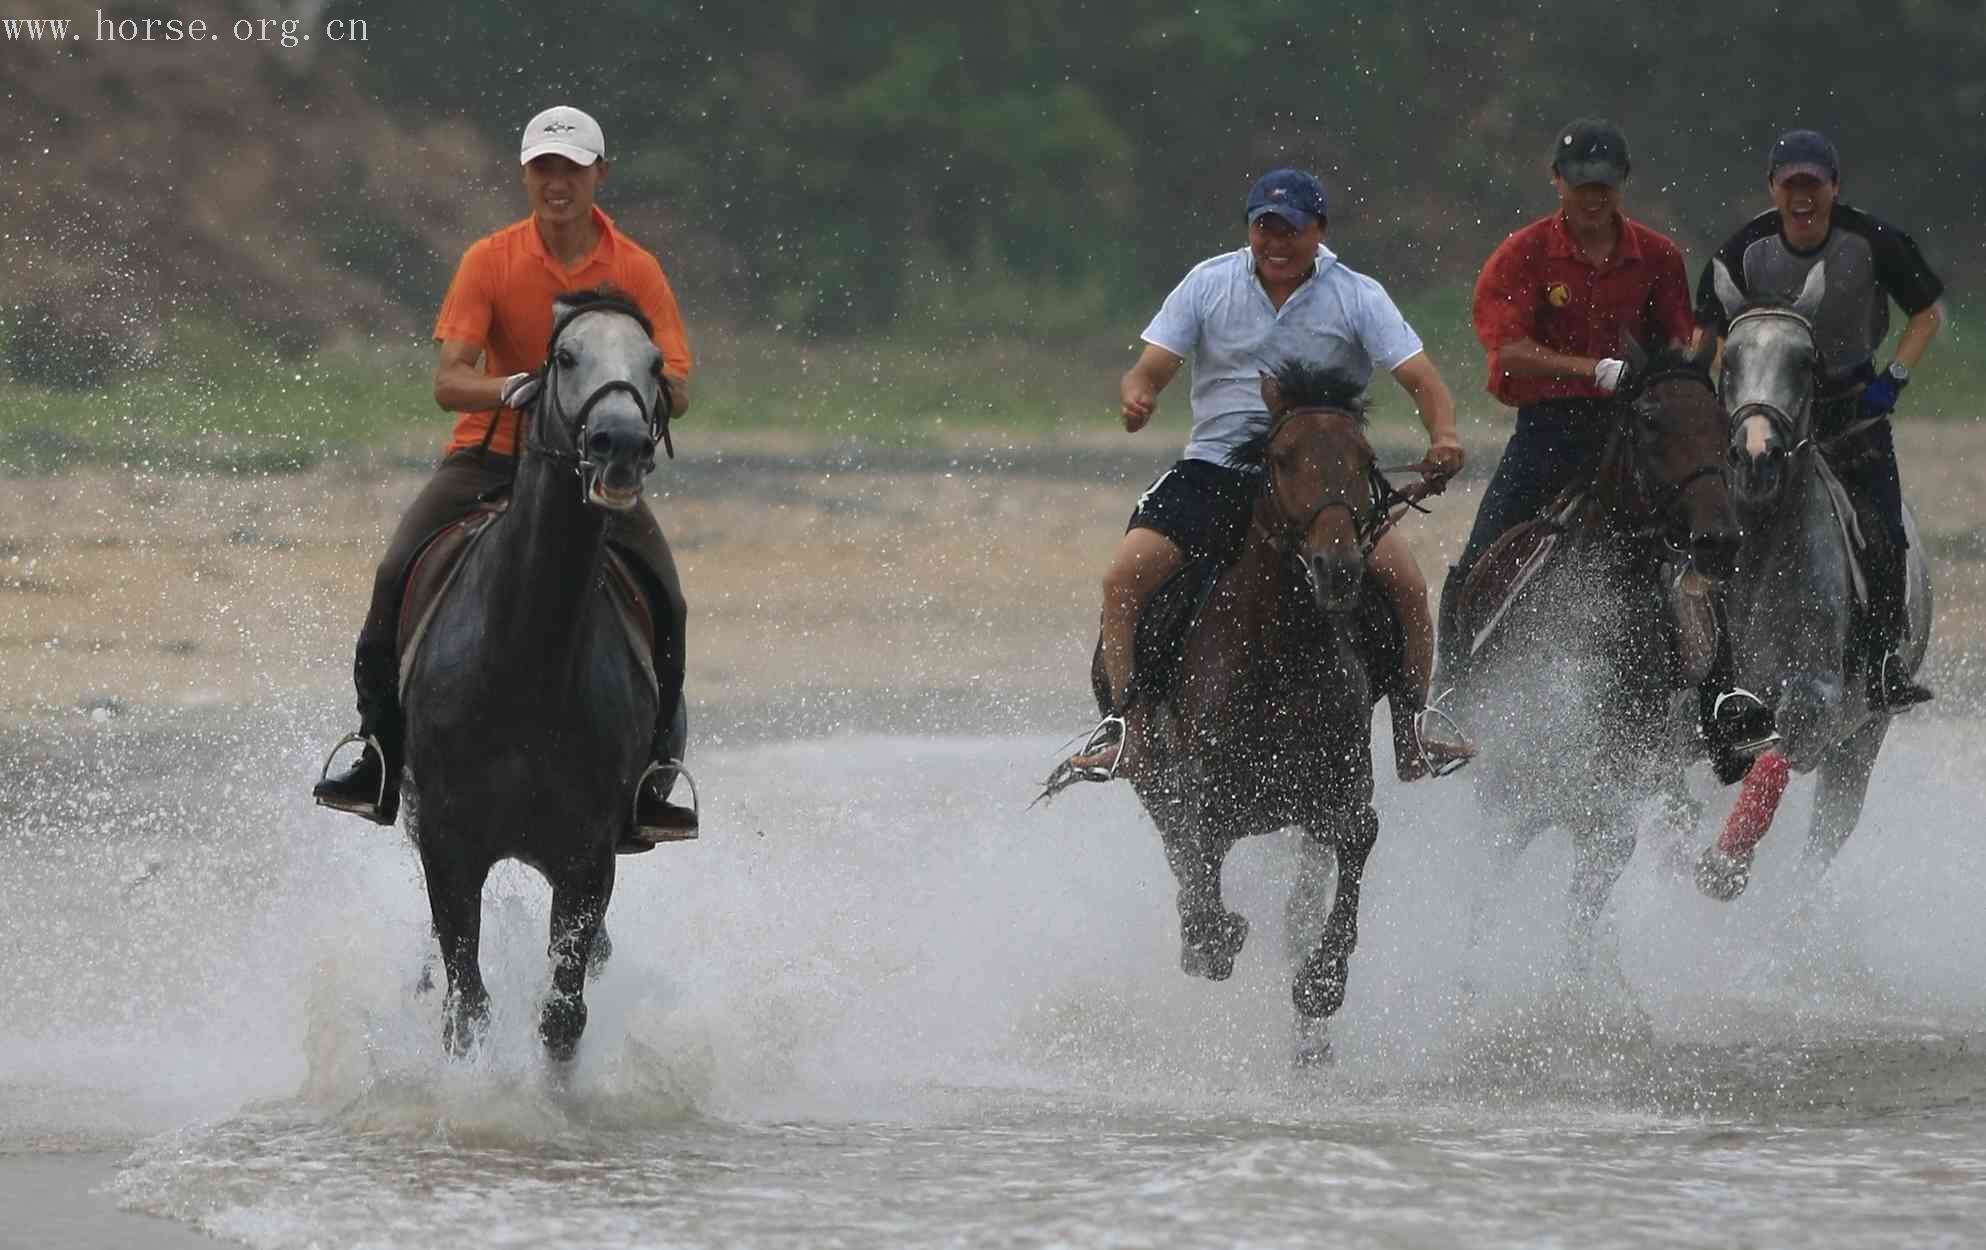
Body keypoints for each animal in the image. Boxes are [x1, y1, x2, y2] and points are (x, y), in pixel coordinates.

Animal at [399, 292, 671, 1065]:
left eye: (654, 363)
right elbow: (467, 1007)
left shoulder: (587, 859)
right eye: (567, 357)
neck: (530, 662)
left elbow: (562, 1014)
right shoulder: (449, 846)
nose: (620, 444)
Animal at [1040, 355, 1445, 1057]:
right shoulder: (1202, 783)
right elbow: (1199, 848)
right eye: (1282, 458)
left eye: (1364, 457)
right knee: (1178, 845)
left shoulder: (1340, 778)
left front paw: (1321, 984)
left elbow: (1354, 839)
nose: (1337, 568)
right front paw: (1213, 939)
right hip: (1146, 761)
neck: (1279, 653)